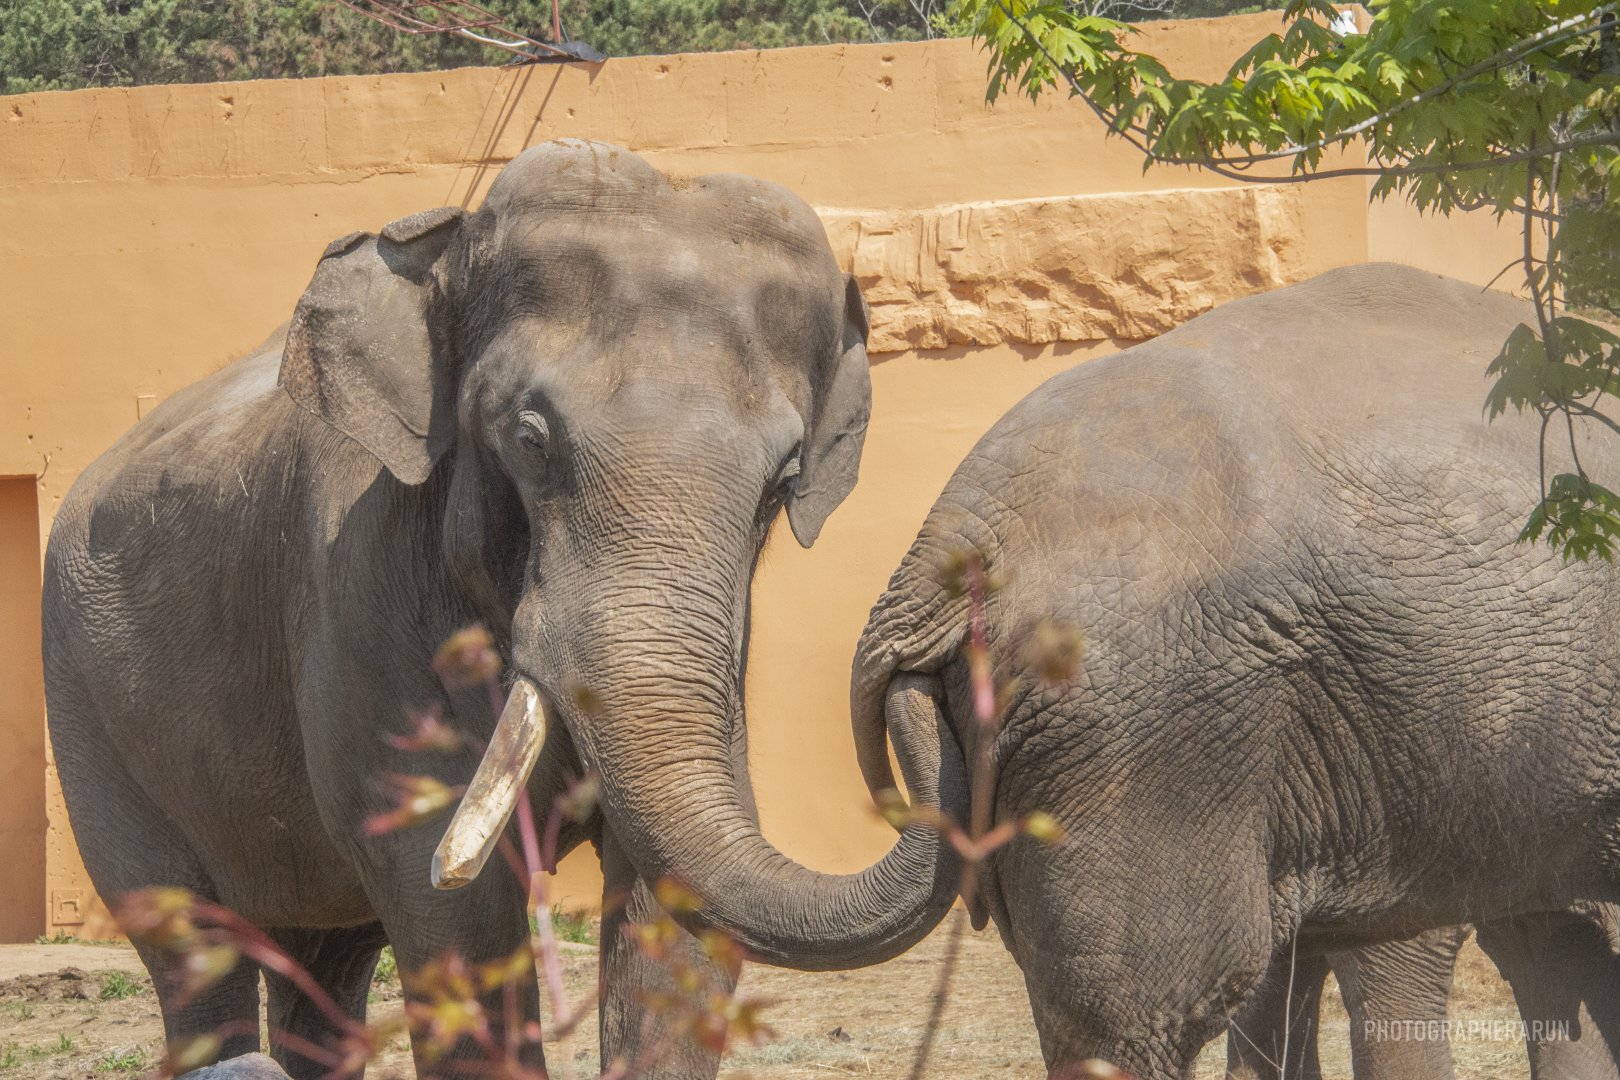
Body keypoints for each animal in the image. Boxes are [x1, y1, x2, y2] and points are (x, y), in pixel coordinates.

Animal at [42, 139, 965, 1079]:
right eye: (530, 441)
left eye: (783, 482)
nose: (922, 670)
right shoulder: (359, 589)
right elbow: (459, 920)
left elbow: (671, 914)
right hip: (85, 714)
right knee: (194, 949)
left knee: (327, 956)